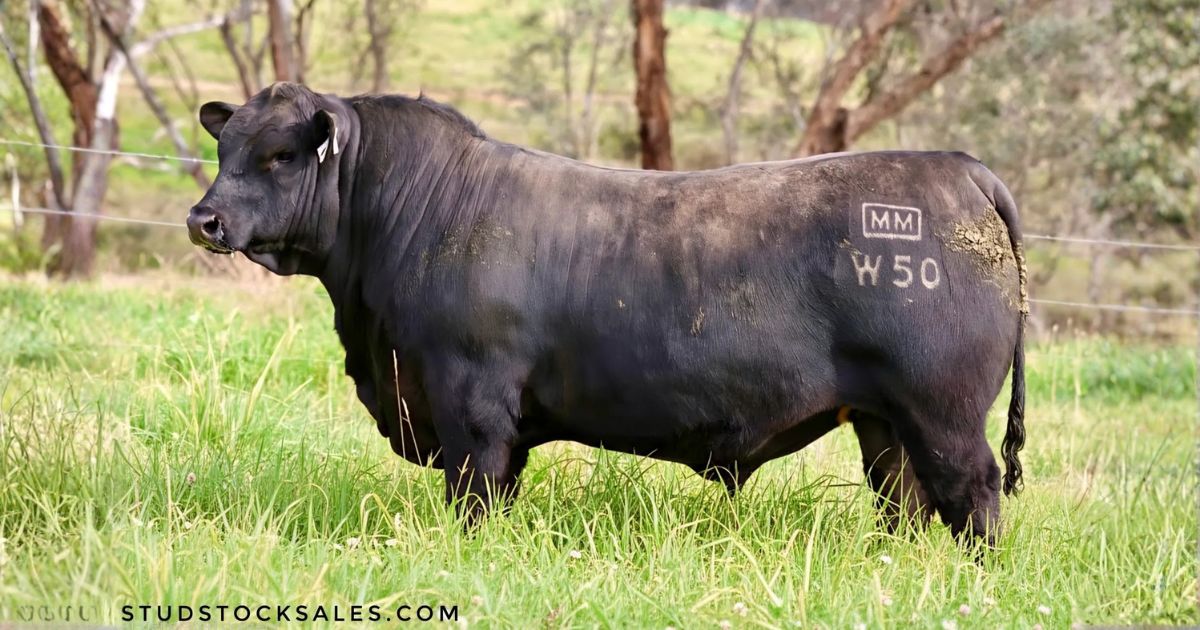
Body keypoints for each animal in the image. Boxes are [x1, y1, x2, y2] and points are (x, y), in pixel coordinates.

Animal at [188, 82, 1027, 546]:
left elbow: (476, 494)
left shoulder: (471, 403)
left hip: (943, 411)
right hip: (885, 420)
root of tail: (959, 167)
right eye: (226, 148)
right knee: (907, 501)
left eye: (280, 157)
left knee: (972, 494)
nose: (204, 219)